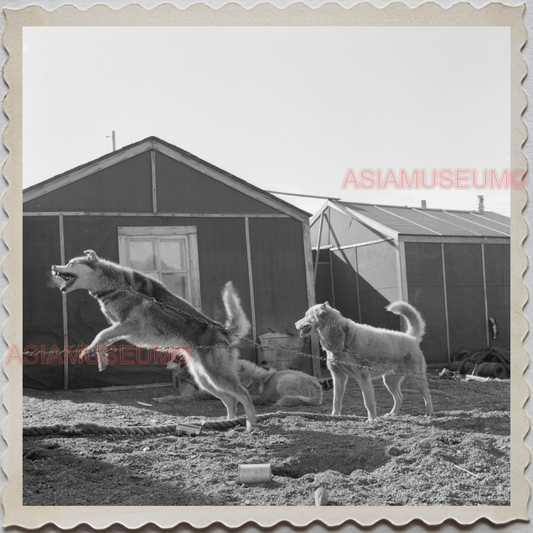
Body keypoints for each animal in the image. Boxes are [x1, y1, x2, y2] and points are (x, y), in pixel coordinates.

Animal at [52, 249, 258, 428]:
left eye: (71, 263)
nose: (54, 266)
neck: (115, 286)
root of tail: (222, 330)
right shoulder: (121, 328)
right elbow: (103, 339)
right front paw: (101, 360)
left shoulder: (131, 326)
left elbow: (100, 335)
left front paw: (87, 352)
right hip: (205, 379)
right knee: (230, 400)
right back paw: (227, 423)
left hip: (217, 376)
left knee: (244, 395)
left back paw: (250, 425)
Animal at [296, 302, 432, 422]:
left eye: (306, 315)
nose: (295, 323)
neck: (344, 341)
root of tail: (411, 338)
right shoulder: (338, 377)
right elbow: (336, 401)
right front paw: (335, 416)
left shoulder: (363, 378)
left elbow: (368, 402)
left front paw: (372, 420)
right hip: (389, 381)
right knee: (399, 397)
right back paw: (392, 414)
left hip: (416, 379)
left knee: (427, 394)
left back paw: (429, 413)